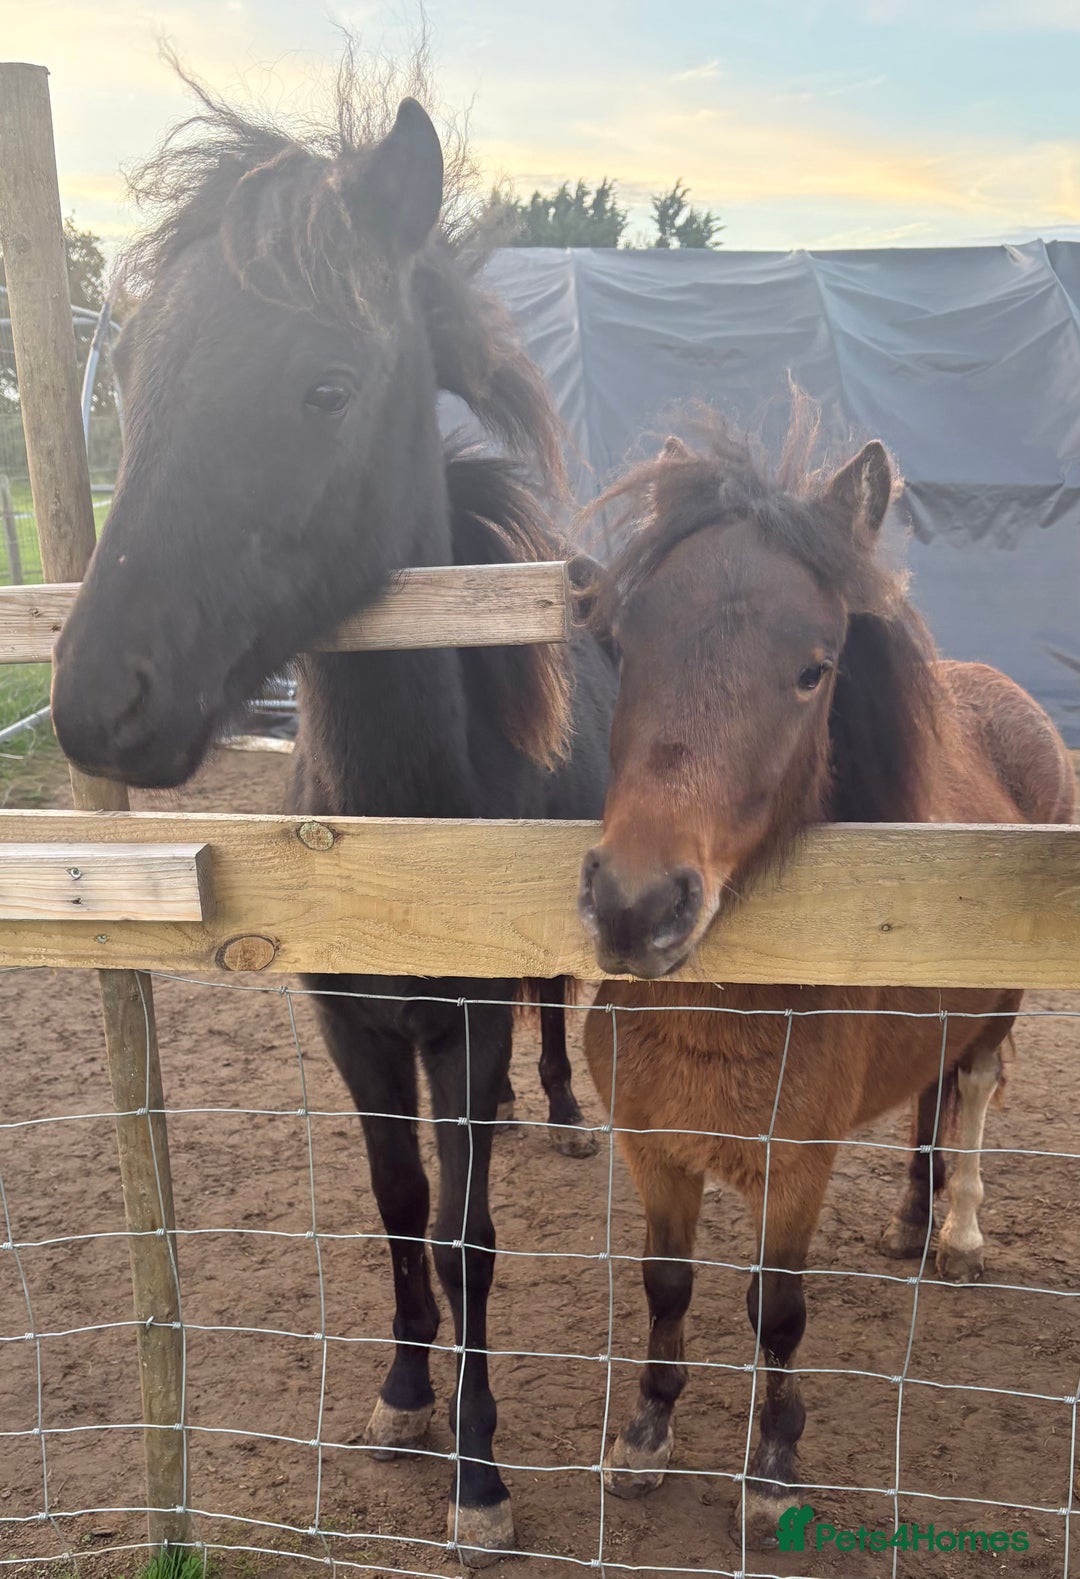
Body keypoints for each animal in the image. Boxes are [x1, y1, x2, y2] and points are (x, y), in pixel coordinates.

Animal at [49, 66, 616, 1563]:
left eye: (327, 385)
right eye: (136, 381)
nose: (96, 702)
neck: (393, 831)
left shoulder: (459, 1027)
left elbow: (471, 1233)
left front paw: (479, 1471)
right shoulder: (351, 1028)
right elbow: (400, 1202)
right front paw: (405, 1390)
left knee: (555, 1009)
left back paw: (563, 1107)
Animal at [573, 410, 1075, 1548]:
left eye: (814, 670)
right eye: (621, 646)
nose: (634, 905)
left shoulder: (793, 1167)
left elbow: (778, 1308)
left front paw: (771, 1467)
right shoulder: (651, 1147)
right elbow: (667, 1283)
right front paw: (646, 1436)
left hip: (1000, 1001)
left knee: (976, 1088)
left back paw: (960, 1231)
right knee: (932, 1097)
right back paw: (910, 1219)